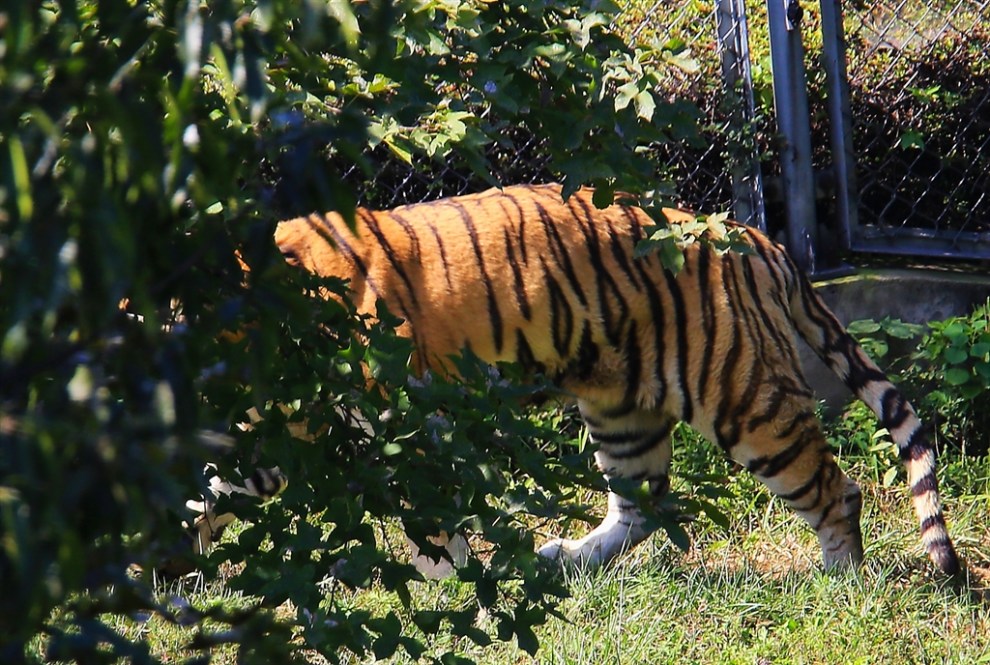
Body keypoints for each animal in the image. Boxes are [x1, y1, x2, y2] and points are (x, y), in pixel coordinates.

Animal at [196, 182, 960, 576]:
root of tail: (753, 236)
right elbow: (212, 493)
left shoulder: (407, 420)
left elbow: (431, 516)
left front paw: (453, 584)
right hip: (625, 409)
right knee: (643, 502)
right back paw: (564, 558)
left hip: (742, 396)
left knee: (834, 488)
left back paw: (841, 578)